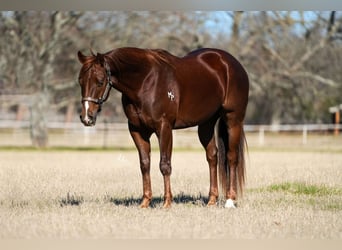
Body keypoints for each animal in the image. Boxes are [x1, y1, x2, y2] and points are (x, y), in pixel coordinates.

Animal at [77, 47, 248, 208]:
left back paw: (230, 201)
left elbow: (164, 165)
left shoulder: (164, 128)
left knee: (232, 157)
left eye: (100, 81)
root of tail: (231, 63)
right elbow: (145, 164)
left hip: (233, 120)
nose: (87, 117)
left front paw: (167, 202)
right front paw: (145, 202)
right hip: (206, 124)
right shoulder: (137, 130)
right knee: (212, 156)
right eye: (80, 81)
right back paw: (212, 200)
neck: (145, 82)